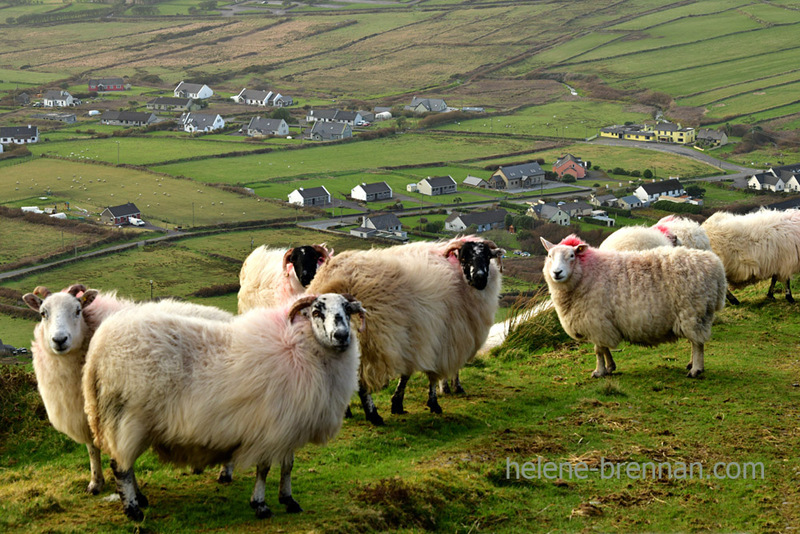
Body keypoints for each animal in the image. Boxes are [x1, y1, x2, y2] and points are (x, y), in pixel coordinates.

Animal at [21, 282, 233, 496]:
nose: (59, 340)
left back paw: (225, 473)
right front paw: (95, 483)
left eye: (78, 310)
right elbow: (92, 450)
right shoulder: (87, 412)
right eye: (43, 313)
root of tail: (227, 315)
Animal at [82, 294, 366, 524]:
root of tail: (97, 350)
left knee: (125, 463)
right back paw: (133, 510)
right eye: (317, 312)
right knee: (121, 467)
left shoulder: (290, 427)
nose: (342, 336)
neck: (302, 347)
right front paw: (261, 505)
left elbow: (288, 466)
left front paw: (288, 500)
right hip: (127, 418)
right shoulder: (270, 428)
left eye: (347, 310)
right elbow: (264, 469)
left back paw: (140, 499)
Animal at [308, 239, 504, 428]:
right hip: (369, 337)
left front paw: (398, 404)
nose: (479, 278)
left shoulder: (414, 338)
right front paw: (434, 403)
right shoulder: (440, 337)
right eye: (464, 257)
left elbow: (407, 374)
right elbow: (431, 375)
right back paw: (373, 415)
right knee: (362, 381)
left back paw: (347, 411)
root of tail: (329, 279)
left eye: (487, 256)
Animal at [540, 236, 728, 382]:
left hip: (693, 311)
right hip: (696, 314)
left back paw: (696, 369)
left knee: (698, 343)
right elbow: (604, 348)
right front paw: (610, 367)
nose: (557, 273)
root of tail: (716, 267)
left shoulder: (596, 320)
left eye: (572, 255)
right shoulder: (603, 324)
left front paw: (599, 371)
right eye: (549, 255)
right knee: (694, 341)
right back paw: (691, 364)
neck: (585, 274)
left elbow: (598, 350)